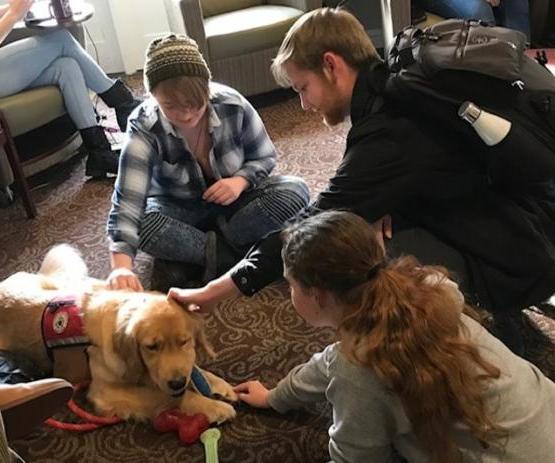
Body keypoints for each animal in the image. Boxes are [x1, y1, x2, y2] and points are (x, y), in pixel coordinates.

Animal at [0, 246, 237, 424]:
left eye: (184, 341)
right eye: (151, 347)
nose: (177, 383)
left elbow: (195, 369)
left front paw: (220, 385)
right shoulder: (104, 392)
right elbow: (171, 397)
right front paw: (214, 406)